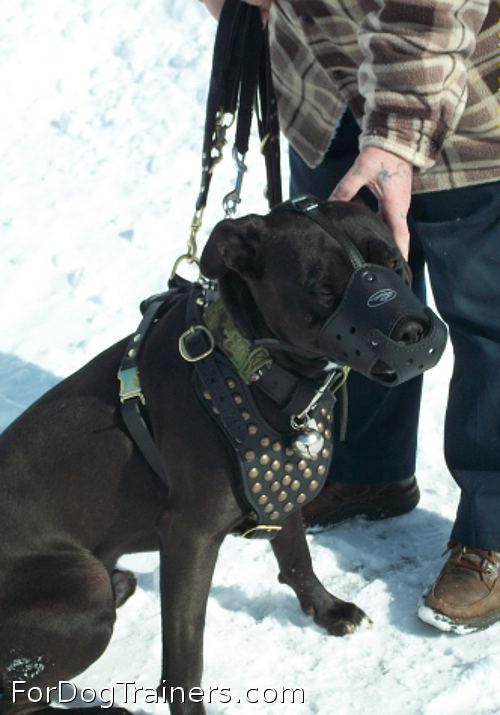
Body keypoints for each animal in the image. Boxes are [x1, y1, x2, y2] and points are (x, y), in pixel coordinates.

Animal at [0, 200, 418, 715]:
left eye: (395, 263)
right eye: (322, 289)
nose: (412, 329)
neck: (252, 367)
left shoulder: (278, 486)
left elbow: (297, 558)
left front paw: (328, 610)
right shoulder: (190, 536)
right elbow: (185, 656)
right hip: (81, 590)